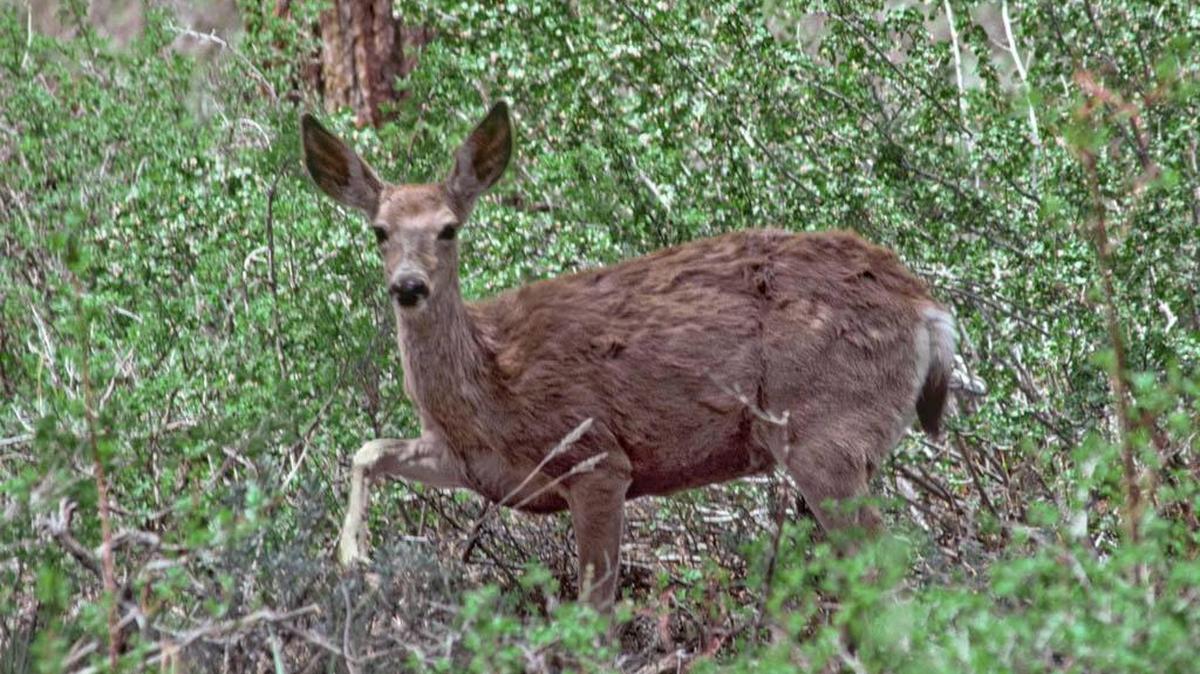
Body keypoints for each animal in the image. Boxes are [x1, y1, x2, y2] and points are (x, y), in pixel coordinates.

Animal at [299, 101, 956, 611]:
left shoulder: (595, 457)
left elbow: (596, 606)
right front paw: (354, 556)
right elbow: (367, 450)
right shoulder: (472, 464)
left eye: (448, 229)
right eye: (380, 231)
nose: (409, 286)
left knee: (891, 576)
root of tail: (927, 308)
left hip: (827, 433)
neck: (490, 381)